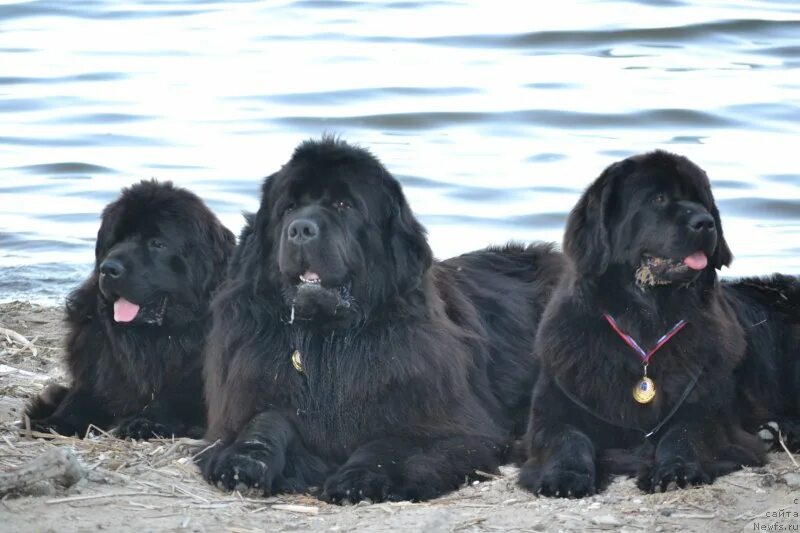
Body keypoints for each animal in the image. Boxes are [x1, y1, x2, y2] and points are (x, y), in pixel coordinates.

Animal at [25, 181, 236, 438]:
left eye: (157, 244)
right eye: (115, 241)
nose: (109, 269)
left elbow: (175, 398)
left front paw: (146, 422)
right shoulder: (96, 370)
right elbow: (80, 398)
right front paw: (54, 421)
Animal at [200, 138, 564, 502]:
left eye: (344, 204)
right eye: (288, 208)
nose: (301, 229)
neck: (327, 340)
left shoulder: (445, 424)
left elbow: (390, 442)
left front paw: (360, 478)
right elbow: (266, 421)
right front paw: (243, 462)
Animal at [520, 148, 800, 496]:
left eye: (701, 201)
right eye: (658, 198)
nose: (705, 222)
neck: (647, 323)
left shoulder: (706, 407)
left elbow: (684, 432)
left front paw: (676, 469)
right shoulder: (554, 406)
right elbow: (566, 436)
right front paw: (565, 476)